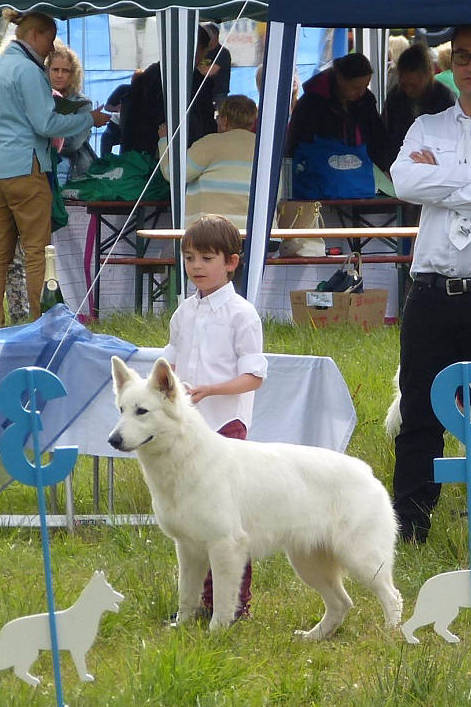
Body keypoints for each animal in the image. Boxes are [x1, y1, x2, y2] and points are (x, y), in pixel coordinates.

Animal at [109, 356, 404, 640]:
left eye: (142, 411)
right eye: (121, 410)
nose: (113, 439)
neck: (187, 457)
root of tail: (367, 473)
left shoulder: (226, 547)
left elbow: (222, 599)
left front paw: (215, 634)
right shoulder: (188, 550)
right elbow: (187, 596)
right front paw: (181, 628)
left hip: (362, 559)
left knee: (392, 597)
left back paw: (390, 637)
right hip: (309, 563)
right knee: (341, 604)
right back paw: (313, 637)